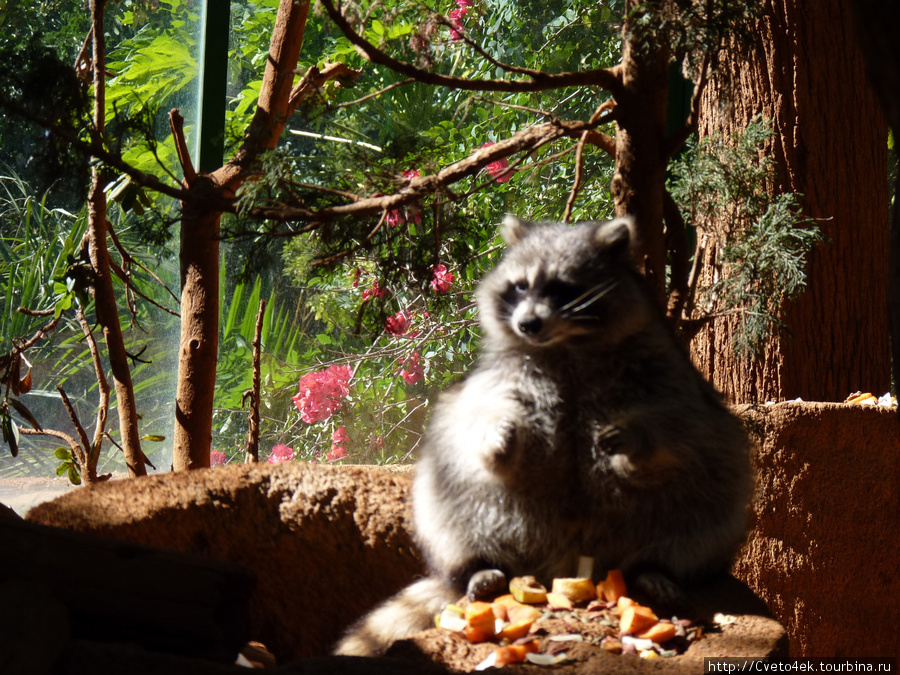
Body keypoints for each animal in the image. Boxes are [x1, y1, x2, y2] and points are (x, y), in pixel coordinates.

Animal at [334, 215, 748, 656]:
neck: (566, 343)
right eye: (520, 286)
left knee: (706, 508)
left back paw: (657, 569)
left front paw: (636, 438)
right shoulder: (499, 377)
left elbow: (683, 421)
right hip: (472, 510)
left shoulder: (666, 369)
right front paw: (497, 435)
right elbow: (472, 414)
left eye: (562, 287)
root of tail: (562, 567)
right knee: (451, 497)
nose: (527, 324)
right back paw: (478, 568)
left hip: (690, 507)